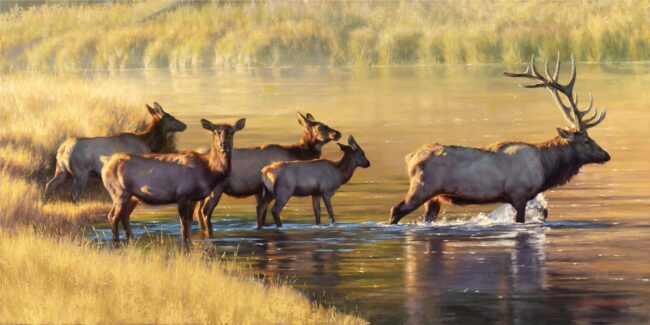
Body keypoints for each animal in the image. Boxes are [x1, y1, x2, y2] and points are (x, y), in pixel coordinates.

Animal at [42, 101, 185, 202]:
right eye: (171, 117)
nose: (184, 125)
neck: (147, 142)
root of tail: (62, 149)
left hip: (62, 171)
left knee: (50, 185)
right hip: (80, 172)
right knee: (74, 193)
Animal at [100, 117, 244, 242]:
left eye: (232, 132)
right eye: (215, 132)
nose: (223, 144)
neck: (209, 172)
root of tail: (106, 162)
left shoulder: (193, 197)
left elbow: (189, 224)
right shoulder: (183, 194)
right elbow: (184, 225)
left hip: (132, 196)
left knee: (124, 216)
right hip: (119, 192)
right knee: (112, 217)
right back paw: (116, 241)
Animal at [196, 112, 340, 232]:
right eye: (320, 127)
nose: (338, 133)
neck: (297, 154)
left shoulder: (259, 190)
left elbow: (262, 215)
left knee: (198, 211)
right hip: (217, 188)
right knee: (205, 211)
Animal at [388, 54, 612, 224]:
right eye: (586, 140)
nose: (606, 155)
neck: (545, 166)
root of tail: (410, 157)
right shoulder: (519, 194)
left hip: (434, 198)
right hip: (421, 188)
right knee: (395, 210)